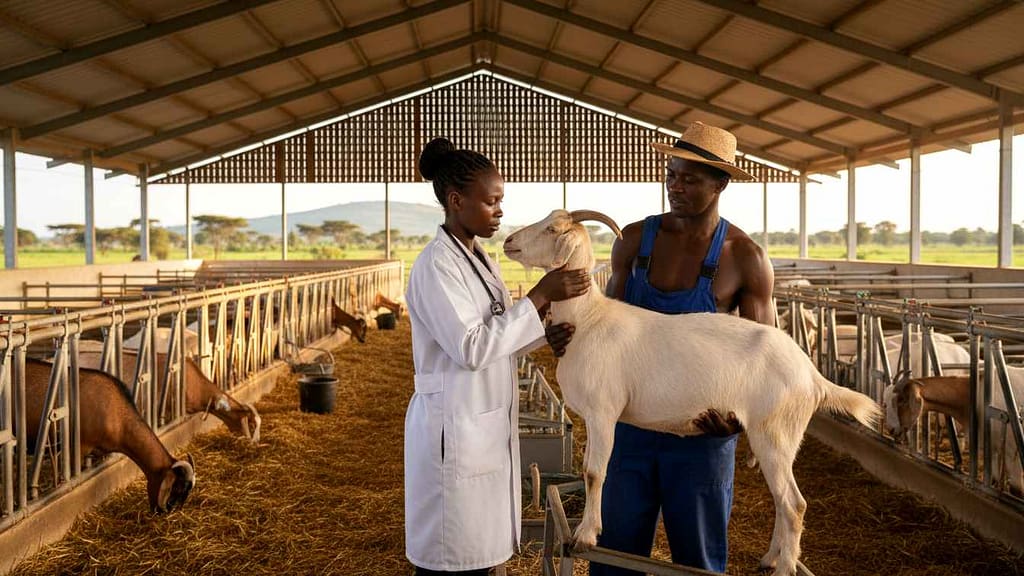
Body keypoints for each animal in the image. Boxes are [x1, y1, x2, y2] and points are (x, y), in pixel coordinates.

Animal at [503, 209, 881, 576]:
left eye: (552, 229)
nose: (508, 241)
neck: (588, 319)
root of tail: (812, 375)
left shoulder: (603, 412)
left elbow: (594, 472)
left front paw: (586, 534)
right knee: (782, 500)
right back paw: (770, 559)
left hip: (776, 432)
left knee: (794, 504)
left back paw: (784, 567)